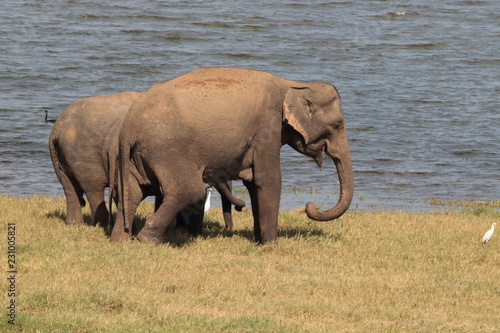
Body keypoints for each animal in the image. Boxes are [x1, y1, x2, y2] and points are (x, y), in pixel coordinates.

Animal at [49, 90, 245, 231]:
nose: (241, 208)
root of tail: (56, 129)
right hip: (83, 155)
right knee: (93, 188)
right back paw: (102, 225)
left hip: (65, 156)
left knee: (70, 188)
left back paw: (75, 224)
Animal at [116, 67, 356, 244]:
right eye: (337, 125)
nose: (310, 206)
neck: (292, 84)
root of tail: (128, 126)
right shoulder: (266, 127)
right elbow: (268, 180)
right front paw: (270, 245)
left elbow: (253, 183)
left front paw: (259, 240)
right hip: (167, 150)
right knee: (188, 190)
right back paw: (147, 240)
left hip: (137, 155)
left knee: (132, 193)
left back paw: (121, 240)